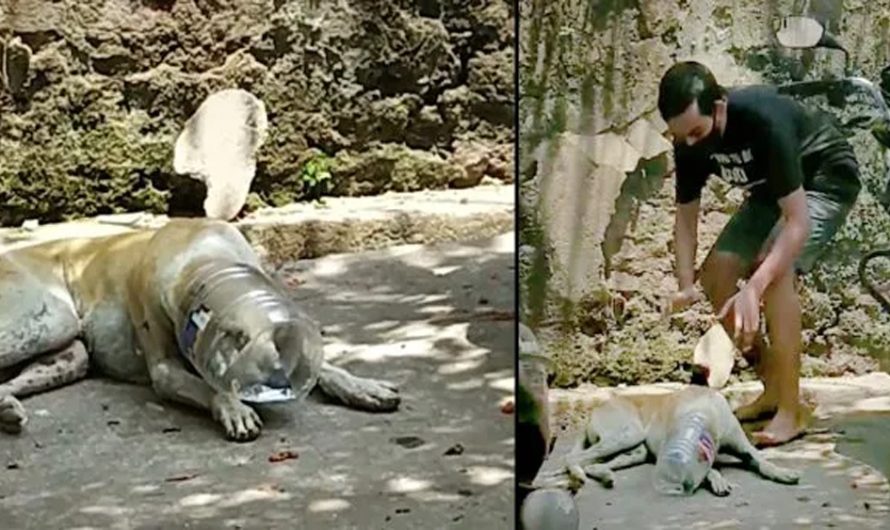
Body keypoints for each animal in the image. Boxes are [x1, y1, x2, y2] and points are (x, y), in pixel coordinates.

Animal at [0, 217, 398, 440]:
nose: (277, 383)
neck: (206, 260)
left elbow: (327, 366)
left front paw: (361, 385)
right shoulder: (165, 369)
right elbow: (208, 386)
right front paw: (234, 408)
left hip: (69, 355)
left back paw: (6, 409)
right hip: (50, 321)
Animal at [532, 384, 800, 490]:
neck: (703, 413)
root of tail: (595, 410)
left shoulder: (743, 445)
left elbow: (762, 461)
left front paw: (782, 472)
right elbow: (711, 468)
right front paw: (716, 479)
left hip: (633, 450)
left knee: (593, 464)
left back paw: (605, 475)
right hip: (627, 434)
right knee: (573, 458)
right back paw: (578, 474)